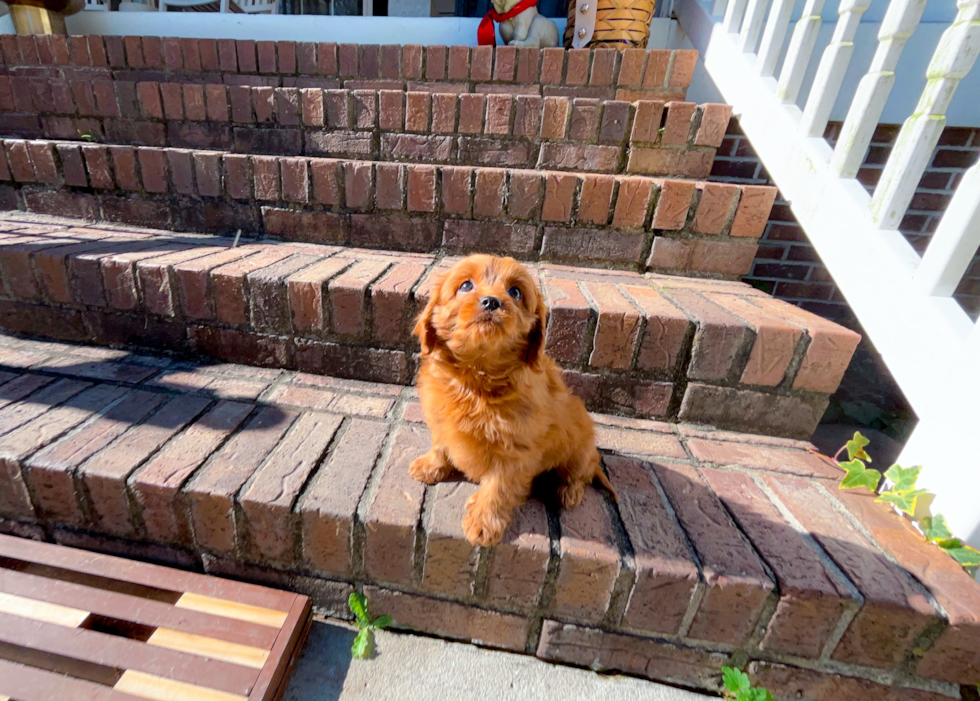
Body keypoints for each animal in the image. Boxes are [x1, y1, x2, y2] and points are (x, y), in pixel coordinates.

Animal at [412, 256, 612, 548]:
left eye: (515, 292)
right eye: (465, 286)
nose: (491, 301)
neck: (477, 379)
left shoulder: (515, 450)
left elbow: (499, 487)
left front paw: (483, 523)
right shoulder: (440, 418)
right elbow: (440, 443)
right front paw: (430, 465)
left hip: (580, 446)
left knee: (580, 472)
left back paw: (568, 491)